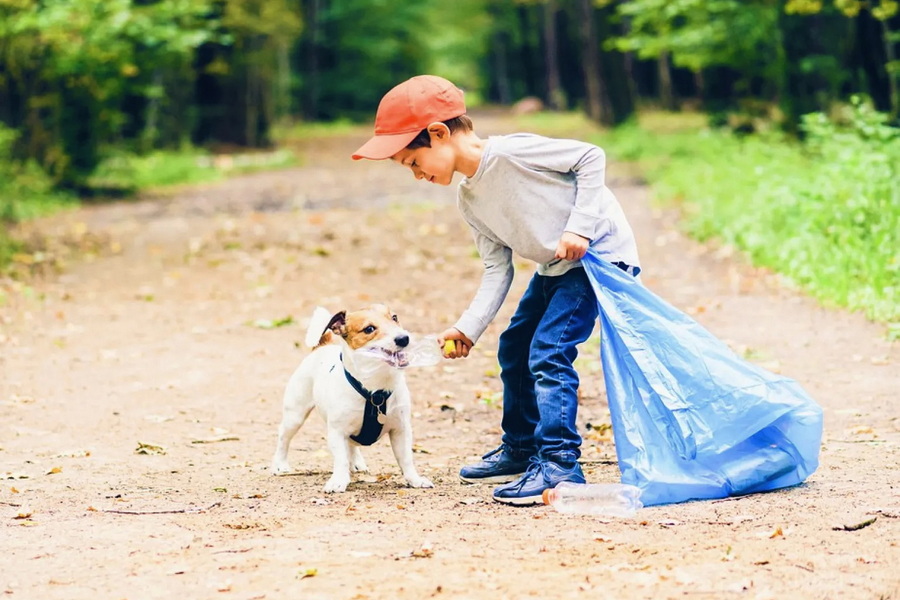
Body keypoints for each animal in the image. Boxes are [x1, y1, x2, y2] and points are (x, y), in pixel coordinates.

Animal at [268, 304, 434, 492]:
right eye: (369, 329)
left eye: (394, 318)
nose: (404, 338)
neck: (375, 391)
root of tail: (322, 346)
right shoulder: (337, 431)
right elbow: (340, 459)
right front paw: (338, 480)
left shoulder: (401, 429)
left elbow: (406, 459)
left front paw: (415, 479)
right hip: (295, 415)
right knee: (284, 438)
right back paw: (280, 464)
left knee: (352, 444)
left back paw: (356, 463)